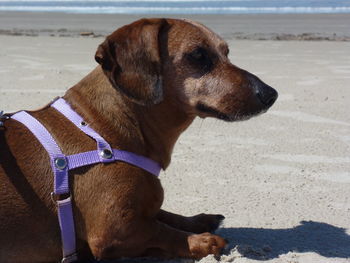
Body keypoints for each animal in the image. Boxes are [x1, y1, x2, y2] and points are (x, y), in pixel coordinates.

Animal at [0, 17, 278, 262]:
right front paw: (203, 241)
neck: (102, 130)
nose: (271, 94)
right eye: (198, 55)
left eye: (226, 52)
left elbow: (163, 215)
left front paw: (198, 221)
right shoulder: (114, 231)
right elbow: (161, 230)